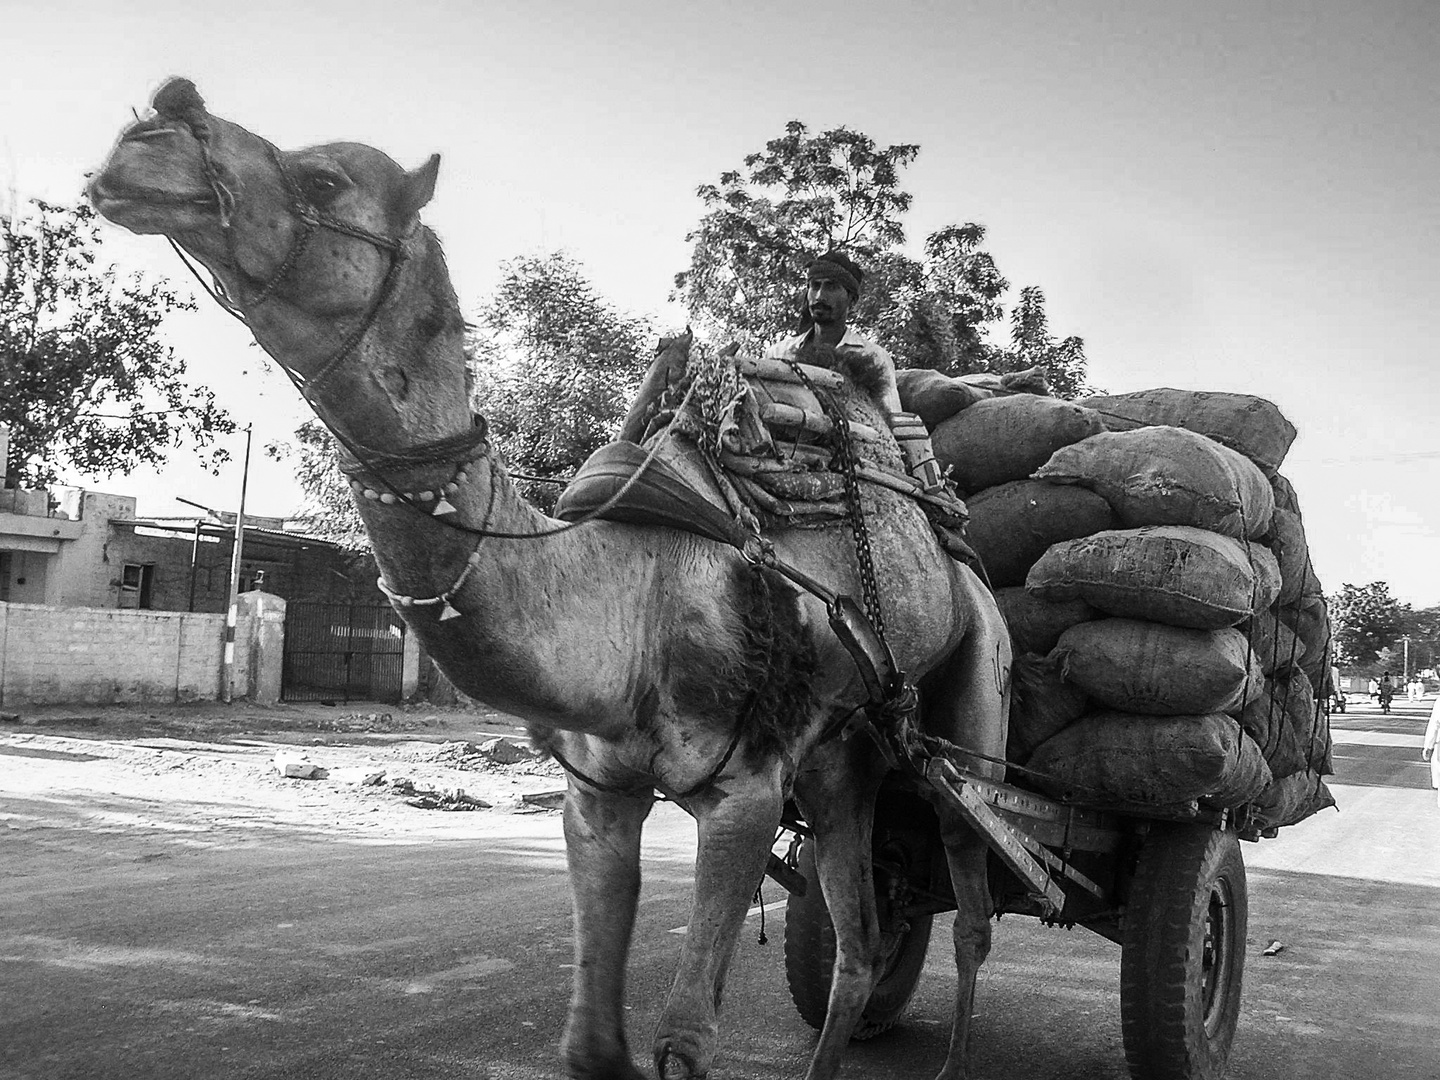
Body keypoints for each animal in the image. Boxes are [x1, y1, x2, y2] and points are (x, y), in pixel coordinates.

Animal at [90, 78, 1013, 1080]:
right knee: (860, 941)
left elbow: (685, 1040)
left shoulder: (746, 791)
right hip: (848, 753)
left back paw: (960, 1056)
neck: (624, 594)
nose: (153, 123)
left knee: (970, 882)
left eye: (324, 178)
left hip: (976, 680)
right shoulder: (598, 794)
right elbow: (590, 1044)